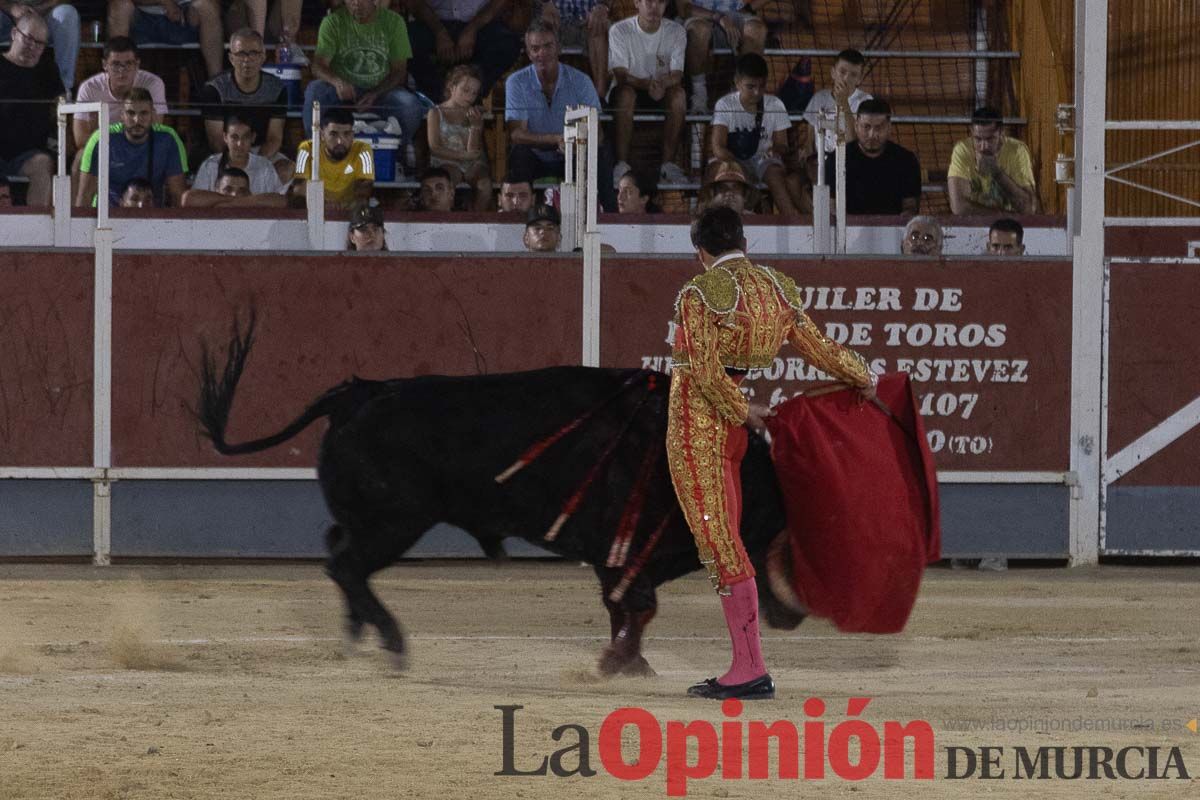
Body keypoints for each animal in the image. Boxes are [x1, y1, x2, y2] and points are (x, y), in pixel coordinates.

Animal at [199, 319, 806, 676]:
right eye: (785, 531)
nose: (795, 614)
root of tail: (360, 391)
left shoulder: (622, 557)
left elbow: (627, 607)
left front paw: (628, 664)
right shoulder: (624, 550)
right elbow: (637, 604)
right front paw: (619, 663)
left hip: (372, 518)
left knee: (336, 552)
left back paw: (357, 637)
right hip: (394, 522)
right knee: (346, 565)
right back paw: (393, 645)